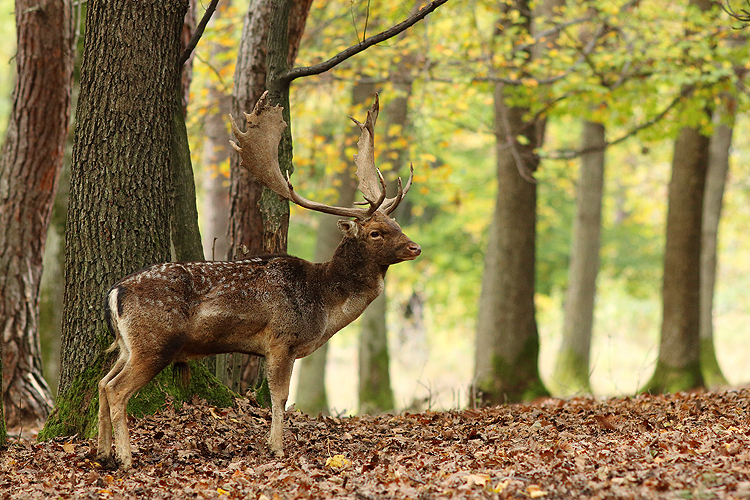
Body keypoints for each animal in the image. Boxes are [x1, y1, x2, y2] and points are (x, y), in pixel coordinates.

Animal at [96, 93, 420, 468]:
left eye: (397, 223)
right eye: (376, 232)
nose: (415, 247)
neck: (324, 302)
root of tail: (114, 292)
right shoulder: (282, 339)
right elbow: (280, 396)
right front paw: (277, 447)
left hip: (127, 344)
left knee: (102, 383)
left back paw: (101, 453)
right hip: (154, 342)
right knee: (116, 389)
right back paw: (125, 457)